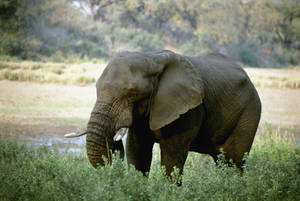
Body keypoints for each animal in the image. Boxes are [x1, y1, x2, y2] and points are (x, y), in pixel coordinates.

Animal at [65, 49, 260, 177]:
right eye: (96, 88)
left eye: (133, 94)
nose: (114, 142)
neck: (152, 59)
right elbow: (137, 152)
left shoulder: (187, 109)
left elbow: (172, 157)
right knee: (222, 161)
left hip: (250, 110)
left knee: (234, 160)